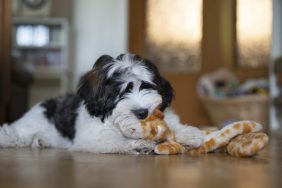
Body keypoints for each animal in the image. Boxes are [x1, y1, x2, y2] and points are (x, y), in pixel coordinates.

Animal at [0, 53, 203, 153]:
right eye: (121, 92)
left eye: (146, 86)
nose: (142, 112)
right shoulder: (92, 137)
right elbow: (116, 141)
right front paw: (139, 144)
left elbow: (172, 125)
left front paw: (190, 134)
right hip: (29, 126)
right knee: (14, 134)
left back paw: (42, 141)